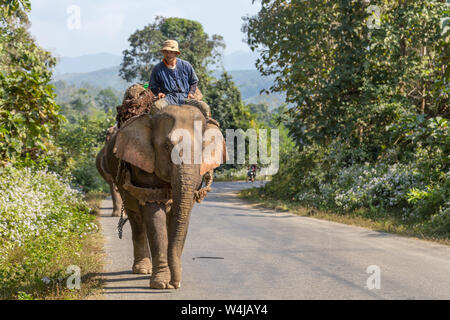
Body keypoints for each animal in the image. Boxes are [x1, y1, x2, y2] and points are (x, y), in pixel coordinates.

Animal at [100, 104, 223, 288]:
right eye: (166, 146)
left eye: (201, 148)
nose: (175, 284)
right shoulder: (144, 164)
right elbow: (154, 211)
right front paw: (161, 284)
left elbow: (180, 215)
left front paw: (170, 280)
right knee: (136, 217)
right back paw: (142, 269)